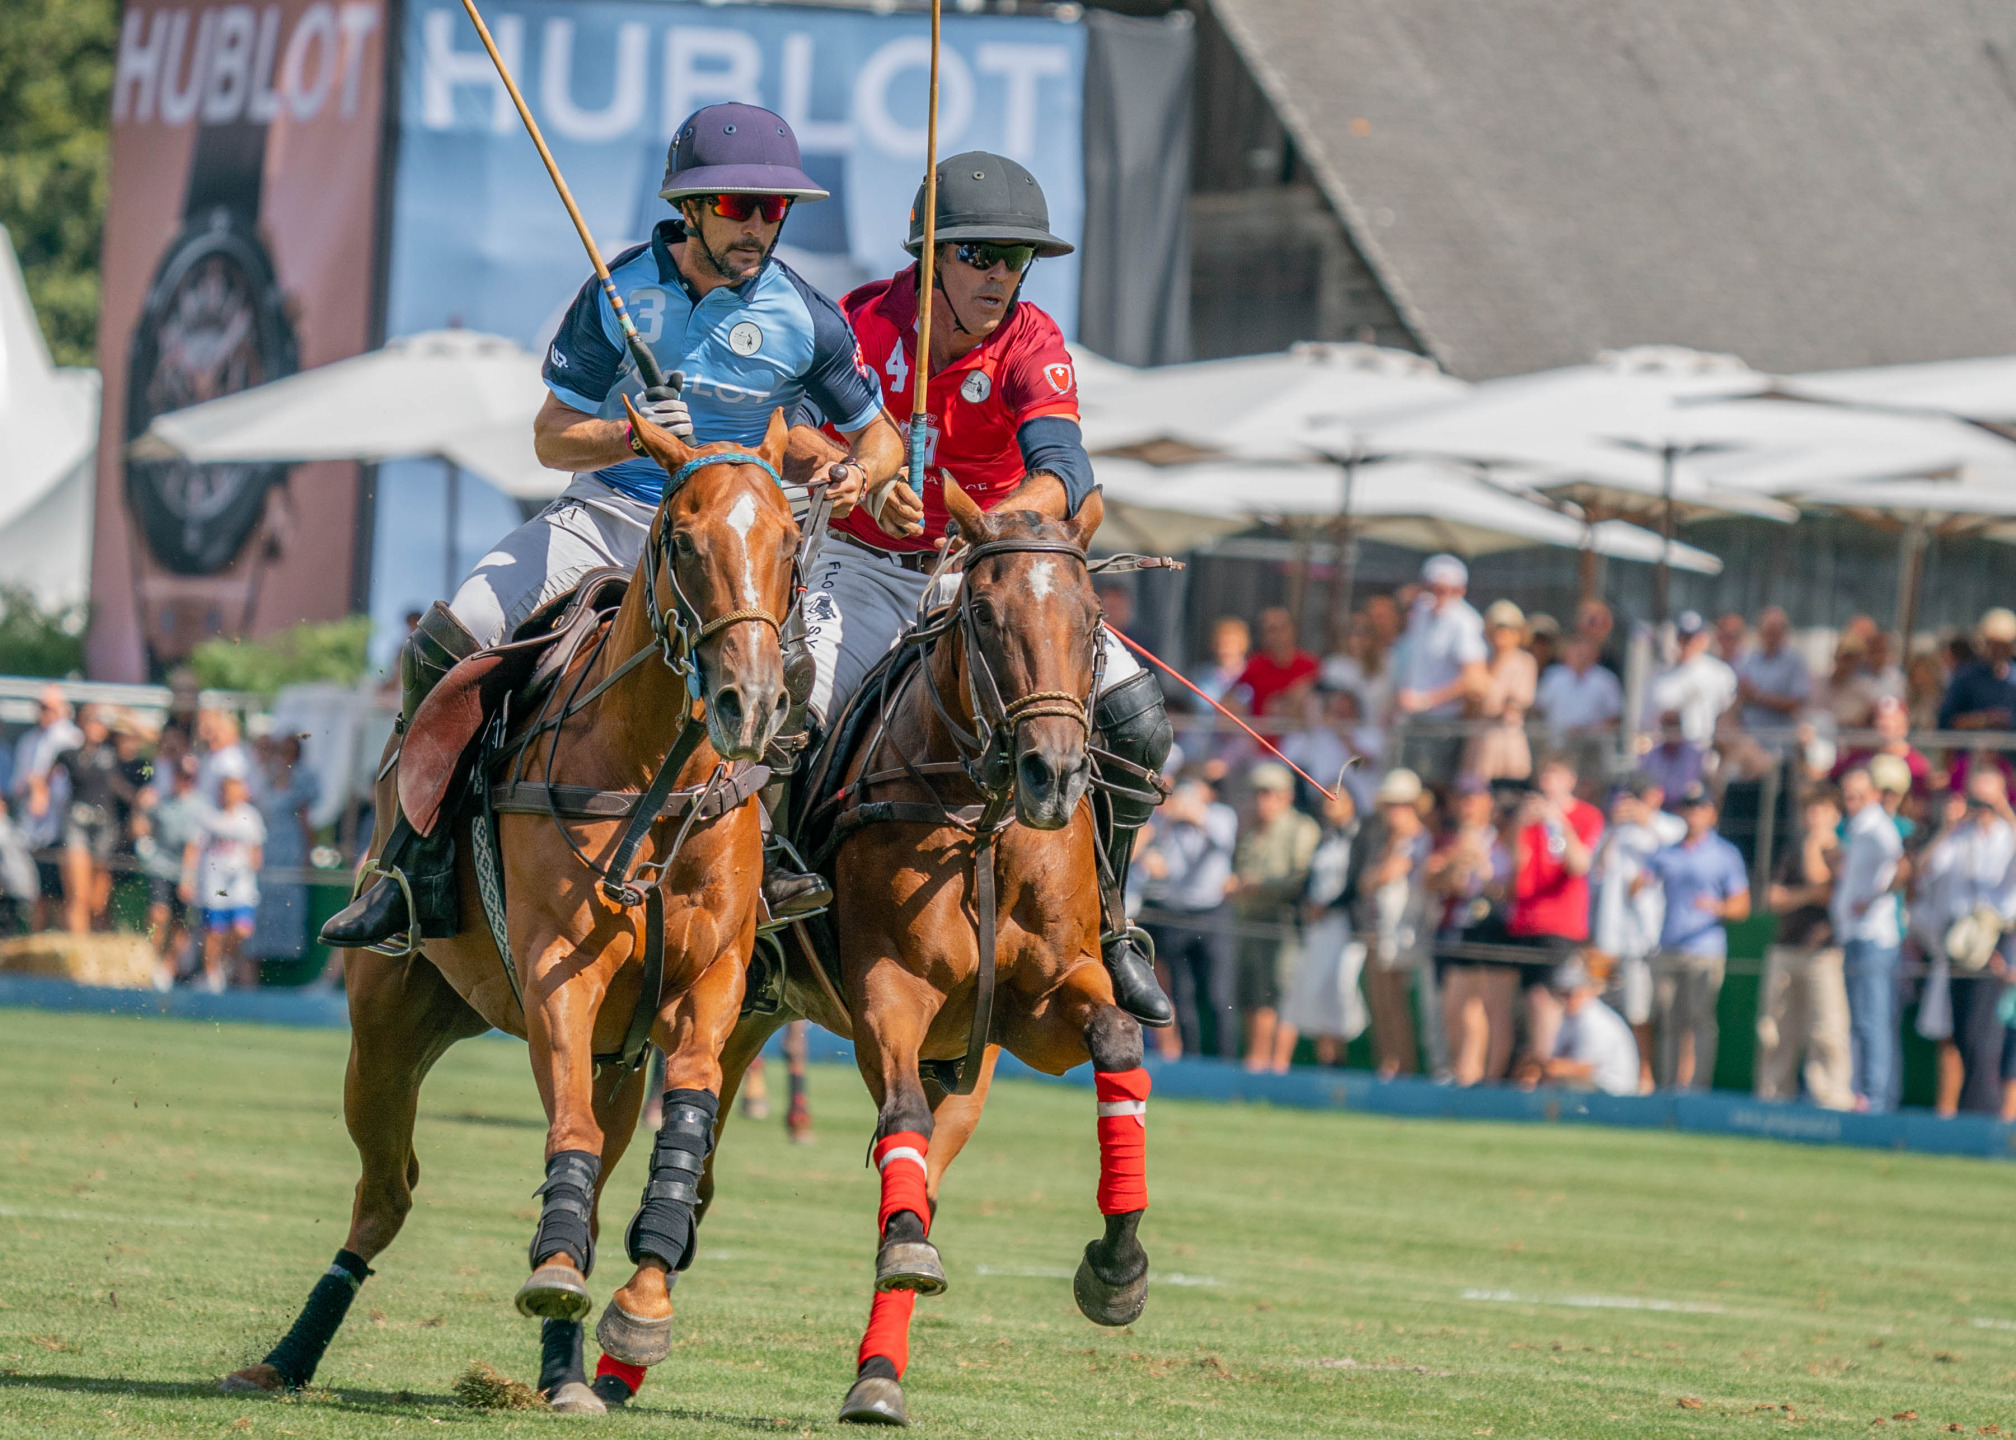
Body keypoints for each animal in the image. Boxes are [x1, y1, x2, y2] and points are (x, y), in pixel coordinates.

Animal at [230, 397, 802, 1411]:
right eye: (682, 539)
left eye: (789, 539)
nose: (754, 702)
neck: (652, 778)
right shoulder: (554, 978)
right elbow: (562, 1128)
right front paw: (559, 1277)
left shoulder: (712, 982)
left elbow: (688, 1117)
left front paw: (642, 1301)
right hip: (387, 1029)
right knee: (385, 1193)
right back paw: (291, 1354)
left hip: (610, 1057)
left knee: (583, 1167)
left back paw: (566, 1371)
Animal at [685, 480, 1161, 1411]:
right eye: (983, 613)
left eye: (1091, 618)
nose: (1055, 775)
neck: (985, 820)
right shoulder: (889, 988)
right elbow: (897, 1117)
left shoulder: (1045, 1002)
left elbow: (1118, 1041)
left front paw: (1116, 1270)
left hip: (946, 1065)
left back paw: (875, 1374)